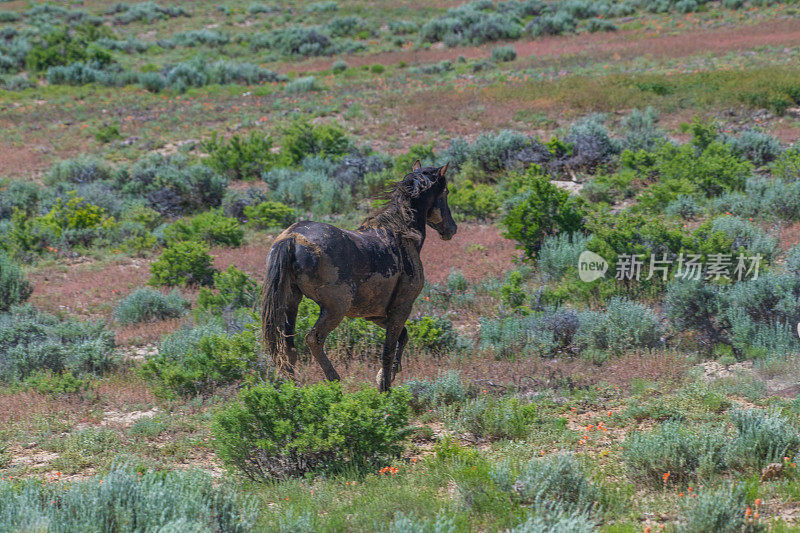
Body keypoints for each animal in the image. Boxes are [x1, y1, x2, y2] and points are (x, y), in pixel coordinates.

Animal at [260, 160, 456, 388]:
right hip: (335, 309)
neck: (401, 234)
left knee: (288, 348)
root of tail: (291, 238)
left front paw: (388, 374)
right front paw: (384, 387)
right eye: (446, 192)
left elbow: (403, 337)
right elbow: (388, 351)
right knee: (312, 339)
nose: (452, 228)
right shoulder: (401, 307)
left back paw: (294, 387)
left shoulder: (375, 314)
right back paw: (334, 381)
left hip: (292, 301)